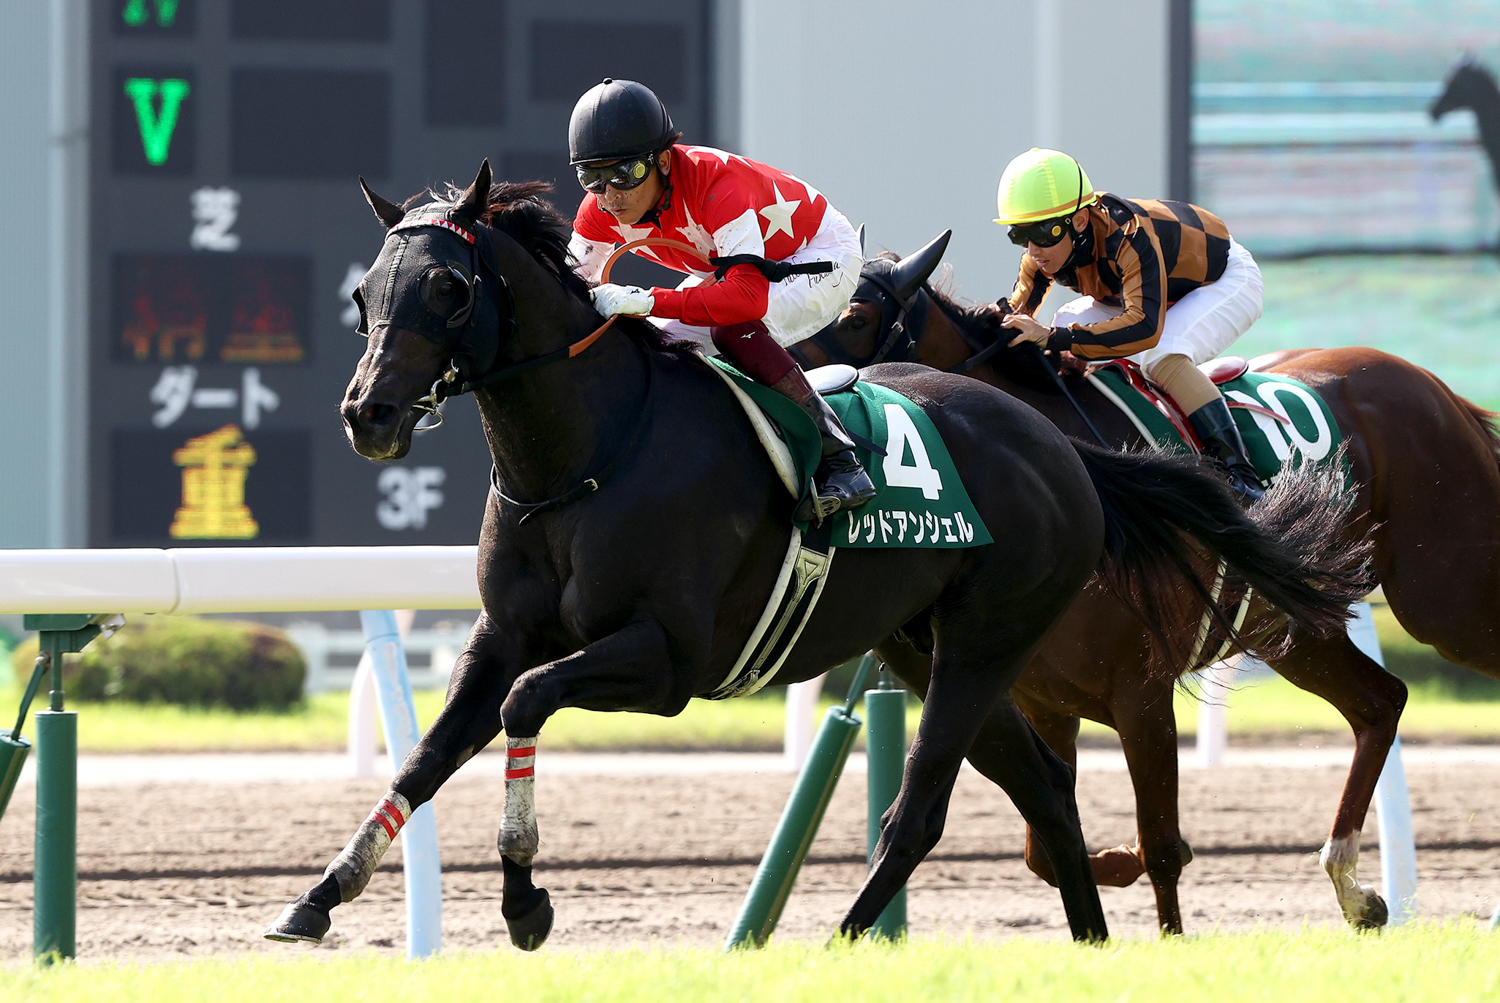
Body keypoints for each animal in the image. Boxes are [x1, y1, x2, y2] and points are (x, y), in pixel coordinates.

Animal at [264, 163, 1370, 951]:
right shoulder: (501, 633)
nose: (368, 414)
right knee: (1044, 795)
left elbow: (526, 704)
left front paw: (526, 902)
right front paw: (320, 894)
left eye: (449, 286)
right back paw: (1090, 949)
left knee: (919, 811)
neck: (588, 455)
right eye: (366, 292)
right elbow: (432, 748)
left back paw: (830, 944)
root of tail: (1066, 447)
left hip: (985, 638)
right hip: (929, 645)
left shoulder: (668, 660)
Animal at [798, 236, 1500, 933]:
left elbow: (1160, 847)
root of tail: (1438, 390)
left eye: (855, 317)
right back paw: (1354, 887)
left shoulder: (1142, 691)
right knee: (1381, 702)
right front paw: (1114, 862)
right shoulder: (1042, 699)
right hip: (1293, 629)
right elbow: (1047, 848)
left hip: (1447, 597)